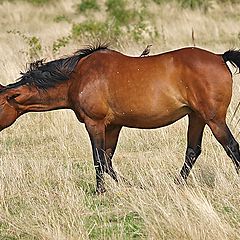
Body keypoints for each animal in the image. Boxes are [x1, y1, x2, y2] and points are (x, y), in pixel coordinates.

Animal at [0, 43, 240, 193]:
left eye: (0, 103)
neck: (78, 76)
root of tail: (220, 57)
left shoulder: (94, 124)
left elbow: (98, 159)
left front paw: (100, 191)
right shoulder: (113, 126)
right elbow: (107, 160)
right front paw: (129, 186)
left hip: (213, 119)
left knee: (231, 147)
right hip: (197, 117)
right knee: (193, 151)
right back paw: (176, 184)